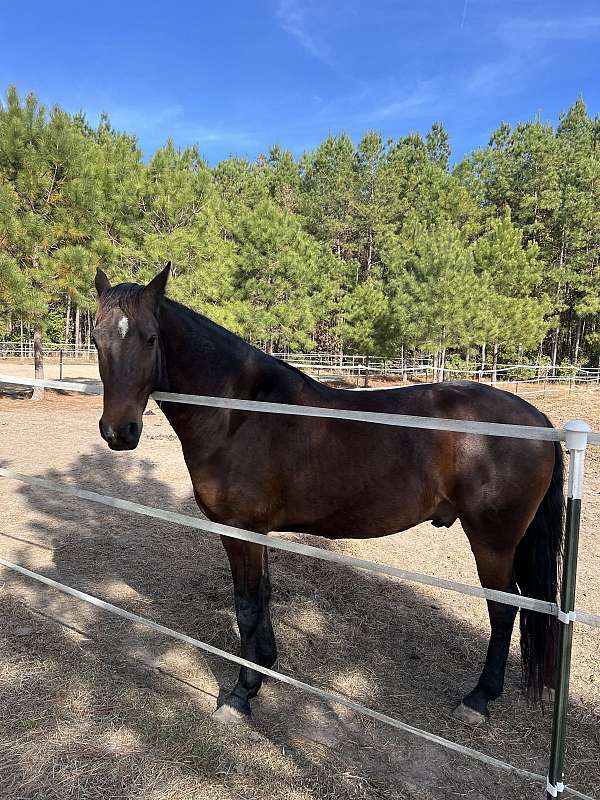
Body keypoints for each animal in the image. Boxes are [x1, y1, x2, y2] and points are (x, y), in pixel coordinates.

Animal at [90, 268, 564, 724]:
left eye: (151, 338)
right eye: (96, 339)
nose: (119, 432)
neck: (238, 412)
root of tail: (539, 419)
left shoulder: (239, 530)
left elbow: (246, 604)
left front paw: (241, 694)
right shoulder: (258, 532)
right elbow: (264, 595)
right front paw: (265, 666)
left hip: (492, 541)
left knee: (504, 610)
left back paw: (479, 699)